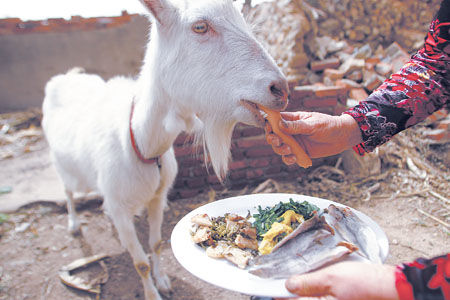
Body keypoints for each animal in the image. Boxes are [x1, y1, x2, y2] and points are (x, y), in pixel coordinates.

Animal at [42, 1, 288, 298]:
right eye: (200, 26)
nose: (280, 89)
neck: (141, 143)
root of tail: (65, 77)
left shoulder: (158, 198)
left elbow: (156, 244)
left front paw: (162, 281)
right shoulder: (120, 206)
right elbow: (140, 262)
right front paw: (152, 292)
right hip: (63, 166)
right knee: (67, 191)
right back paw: (74, 225)